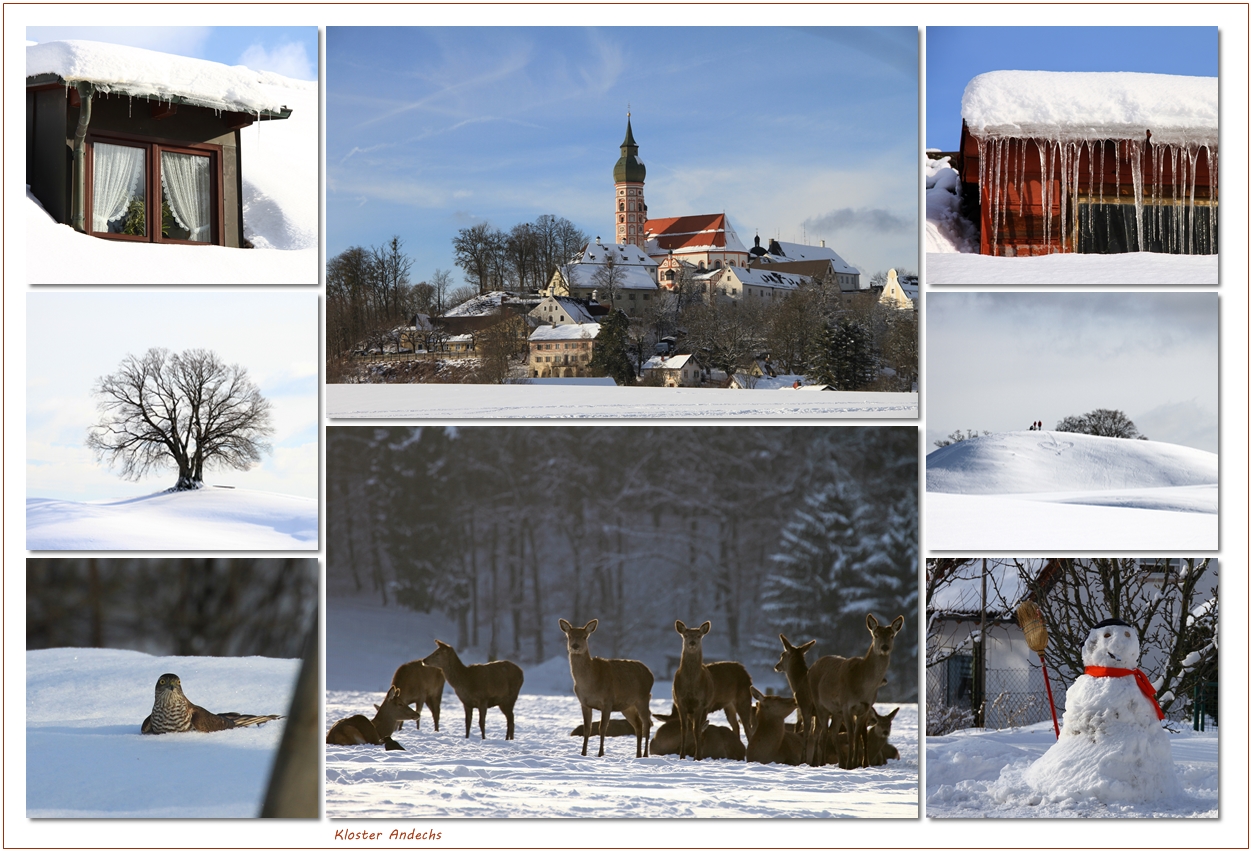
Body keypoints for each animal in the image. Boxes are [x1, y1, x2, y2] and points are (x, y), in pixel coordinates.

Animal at [558, 618, 656, 755]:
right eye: (569, 636)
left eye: (584, 636)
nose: (575, 646)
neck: (590, 685)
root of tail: (650, 673)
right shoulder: (584, 703)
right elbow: (587, 729)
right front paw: (583, 753)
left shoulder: (607, 701)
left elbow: (602, 728)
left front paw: (600, 753)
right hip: (627, 706)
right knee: (638, 725)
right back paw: (637, 755)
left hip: (643, 697)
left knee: (647, 724)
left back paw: (645, 754)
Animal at [676, 618, 716, 755]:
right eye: (685, 635)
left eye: (699, 636)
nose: (692, 642)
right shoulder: (680, 701)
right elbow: (683, 729)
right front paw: (681, 755)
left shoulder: (700, 703)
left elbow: (696, 730)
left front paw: (697, 756)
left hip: (706, 707)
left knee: (699, 728)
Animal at [806, 610, 906, 765]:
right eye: (875, 635)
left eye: (892, 635)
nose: (884, 647)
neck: (863, 688)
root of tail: (811, 668)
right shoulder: (847, 706)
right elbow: (851, 735)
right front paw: (850, 764)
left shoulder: (865, 708)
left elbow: (859, 734)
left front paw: (859, 764)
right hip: (820, 704)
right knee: (821, 732)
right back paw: (821, 763)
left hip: (836, 711)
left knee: (832, 731)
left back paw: (840, 763)